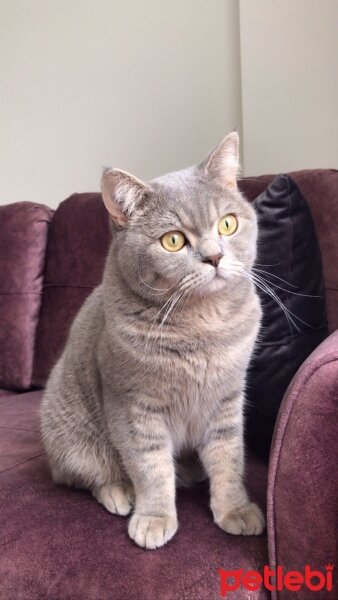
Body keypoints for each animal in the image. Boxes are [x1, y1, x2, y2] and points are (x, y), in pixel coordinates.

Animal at [41, 131, 266, 548]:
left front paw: (235, 509)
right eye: (173, 241)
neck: (202, 326)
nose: (214, 257)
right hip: (72, 437)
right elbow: (149, 466)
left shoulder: (227, 399)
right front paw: (154, 517)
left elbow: (228, 457)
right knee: (86, 476)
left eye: (227, 224)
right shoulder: (134, 407)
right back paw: (119, 492)